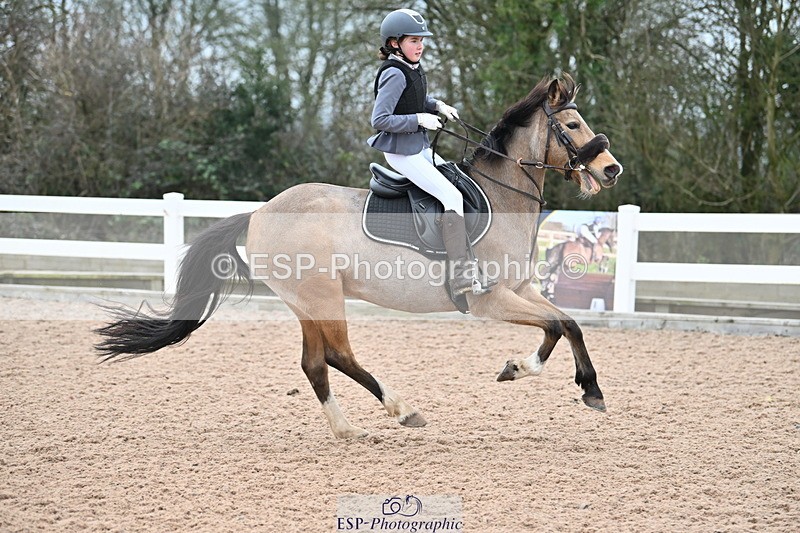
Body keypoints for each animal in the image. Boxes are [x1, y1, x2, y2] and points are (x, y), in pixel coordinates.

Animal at [95, 74, 623, 439]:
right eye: (572, 124)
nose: (611, 168)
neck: (501, 194)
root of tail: (259, 212)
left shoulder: (521, 289)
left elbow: (568, 324)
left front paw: (580, 386)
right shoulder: (490, 300)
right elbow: (556, 325)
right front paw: (534, 372)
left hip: (307, 302)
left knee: (315, 363)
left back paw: (346, 428)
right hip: (322, 296)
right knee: (337, 355)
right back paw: (402, 410)